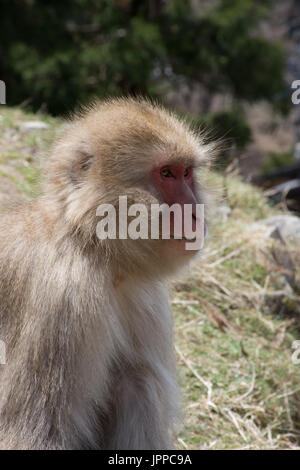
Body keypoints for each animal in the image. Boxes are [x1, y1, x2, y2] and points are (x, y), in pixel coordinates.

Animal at [0, 97, 213, 450]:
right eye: (166, 173)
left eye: (187, 173)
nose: (195, 212)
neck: (93, 247)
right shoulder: (65, 299)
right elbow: (35, 430)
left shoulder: (144, 296)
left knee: (136, 381)